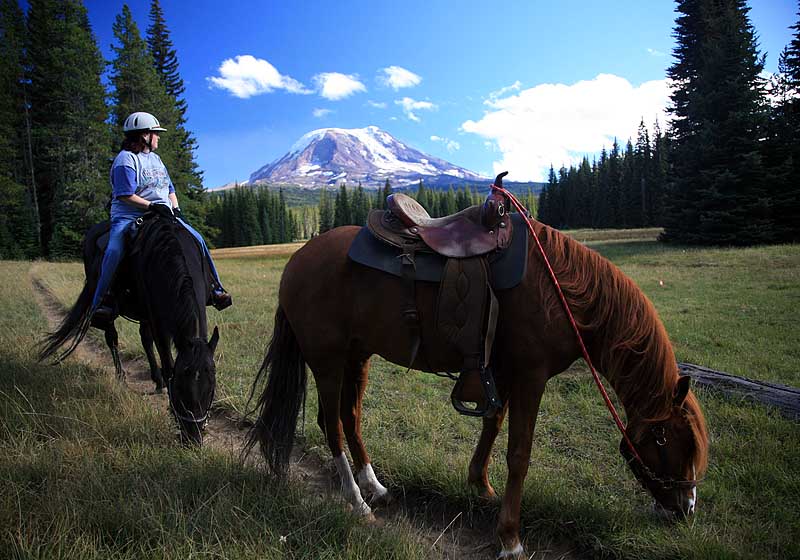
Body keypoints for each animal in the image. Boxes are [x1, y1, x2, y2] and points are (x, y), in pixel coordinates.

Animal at [39, 214, 217, 446]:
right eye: (178, 386)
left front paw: (161, 382)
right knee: (111, 337)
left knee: (145, 339)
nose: (193, 438)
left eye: (211, 386)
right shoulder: (156, 318)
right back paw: (121, 376)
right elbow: (167, 361)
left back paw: (156, 380)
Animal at [247, 219, 708, 556]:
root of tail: (297, 260)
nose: (687, 509)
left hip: (357, 357)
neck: (560, 292)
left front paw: (481, 487)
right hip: (327, 360)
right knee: (331, 425)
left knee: (350, 417)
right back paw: (356, 502)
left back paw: (374, 488)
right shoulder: (532, 375)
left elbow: (493, 422)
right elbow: (519, 454)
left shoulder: (503, 372)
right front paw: (511, 539)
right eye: (671, 441)